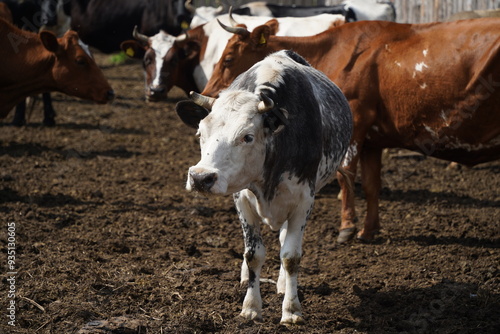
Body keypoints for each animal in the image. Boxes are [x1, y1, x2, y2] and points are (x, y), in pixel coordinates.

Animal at [176, 50, 352, 324]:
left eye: (247, 136)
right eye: (200, 133)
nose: (200, 177)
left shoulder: (303, 201)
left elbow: (290, 256)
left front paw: (291, 309)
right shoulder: (242, 199)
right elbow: (253, 254)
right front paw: (251, 306)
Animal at [199, 18, 500, 241]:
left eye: (228, 58)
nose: (208, 92)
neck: (335, 51)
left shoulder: (357, 125)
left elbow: (346, 177)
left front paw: (347, 228)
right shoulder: (373, 140)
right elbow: (371, 184)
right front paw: (368, 230)